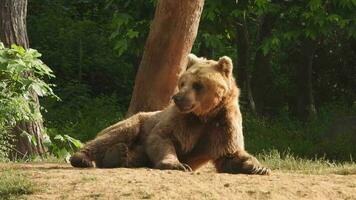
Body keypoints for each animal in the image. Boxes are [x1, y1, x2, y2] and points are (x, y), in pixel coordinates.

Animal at [69, 54, 270, 174]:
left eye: (197, 84)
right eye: (182, 82)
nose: (177, 98)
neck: (205, 115)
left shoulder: (223, 123)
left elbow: (229, 154)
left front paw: (258, 167)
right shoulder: (182, 120)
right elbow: (162, 137)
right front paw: (177, 164)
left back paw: (116, 155)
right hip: (137, 120)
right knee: (115, 134)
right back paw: (84, 158)